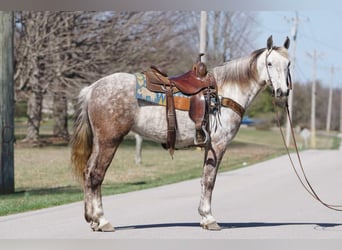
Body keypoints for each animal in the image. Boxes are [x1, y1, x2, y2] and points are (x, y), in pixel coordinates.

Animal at [70, 36, 292, 231]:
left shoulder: (208, 146)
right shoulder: (218, 145)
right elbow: (210, 181)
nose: (282, 91)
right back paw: (102, 220)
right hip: (109, 141)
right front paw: (210, 219)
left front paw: (204, 217)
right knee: (96, 175)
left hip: (100, 142)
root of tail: (92, 88)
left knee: (88, 173)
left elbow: (204, 179)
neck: (225, 93)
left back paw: (93, 220)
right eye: (270, 63)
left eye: (288, 64)